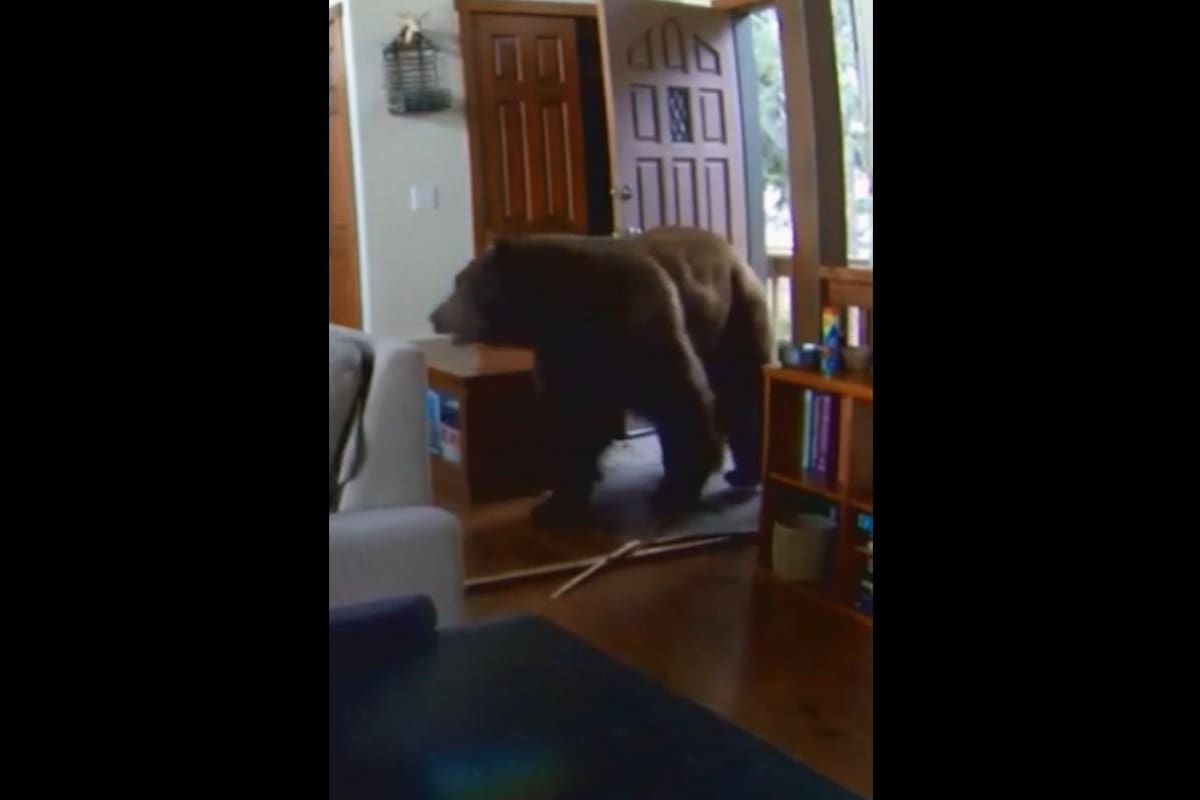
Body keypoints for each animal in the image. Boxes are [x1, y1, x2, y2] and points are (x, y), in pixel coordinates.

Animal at [429, 225, 772, 528]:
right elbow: (574, 419)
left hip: (735, 314)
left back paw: (745, 471)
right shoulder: (570, 357)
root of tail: (730, 250)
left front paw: (673, 493)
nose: (434, 315)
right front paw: (556, 505)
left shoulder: (641, 324)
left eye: (461, 283)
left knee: (743, 389)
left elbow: (680, 403)